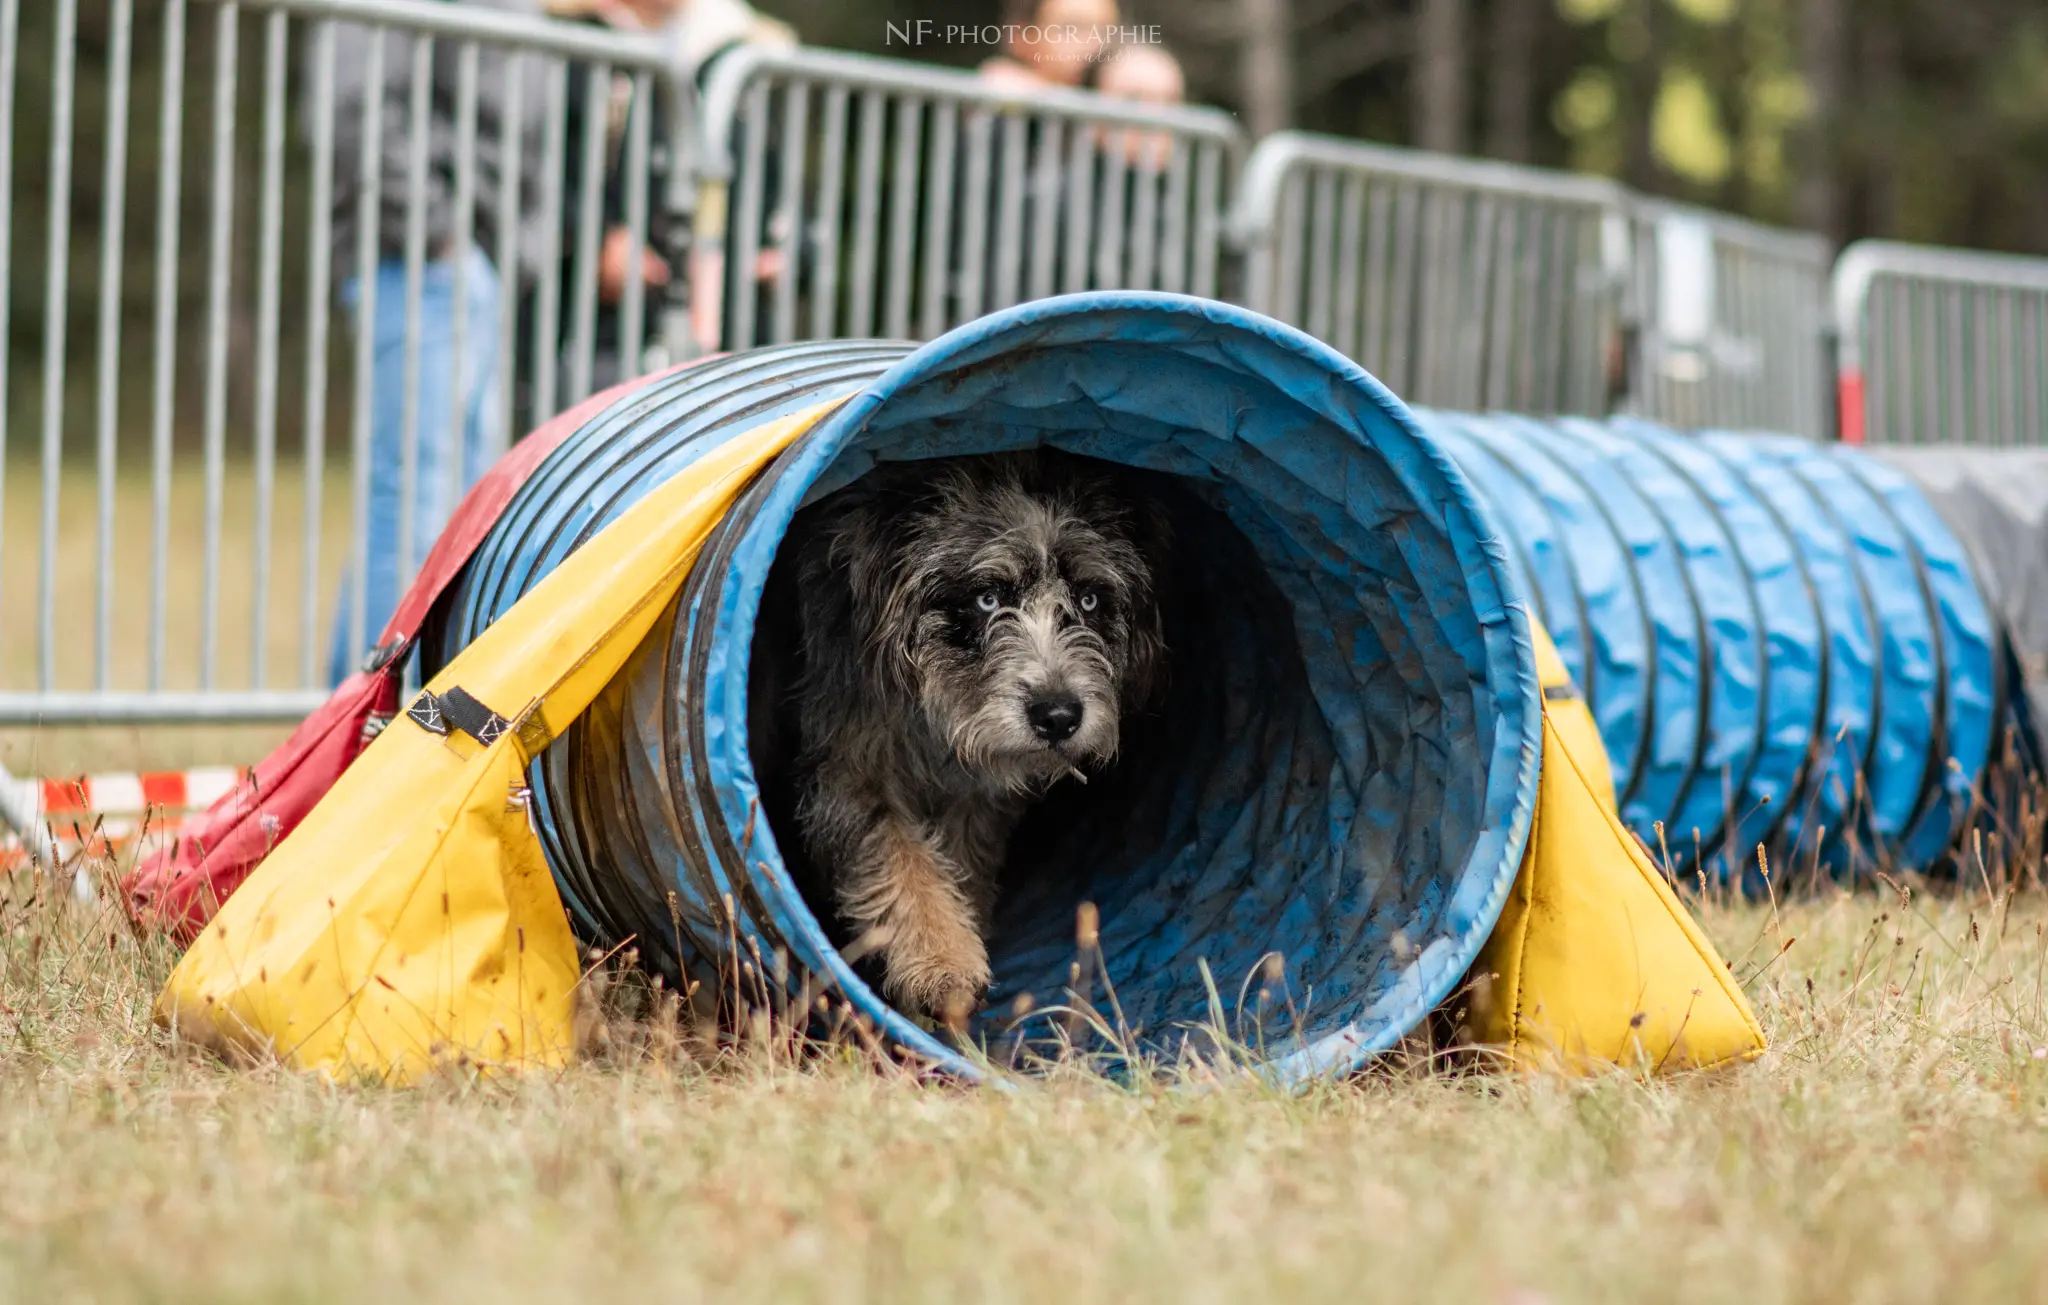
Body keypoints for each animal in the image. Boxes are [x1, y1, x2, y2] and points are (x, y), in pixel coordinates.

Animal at [786, 452, 1171, 1024]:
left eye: (1089, 598)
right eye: (988, 598)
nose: (1059, 716)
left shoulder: (978, 797)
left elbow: (961, 862)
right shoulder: (850, 773)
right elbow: (899, 856)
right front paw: (942, 964)